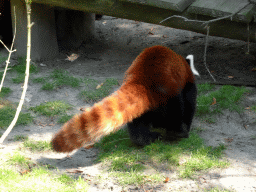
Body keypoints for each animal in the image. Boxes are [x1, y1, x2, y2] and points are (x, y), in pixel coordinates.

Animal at [51, 45, 200, 152]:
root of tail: (140, 80)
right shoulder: (186, 83)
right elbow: (189, 103)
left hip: (144, 103)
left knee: (137, 121)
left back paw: (145, 139)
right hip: (167, 94)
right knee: (176, 110)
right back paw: (179, 133)